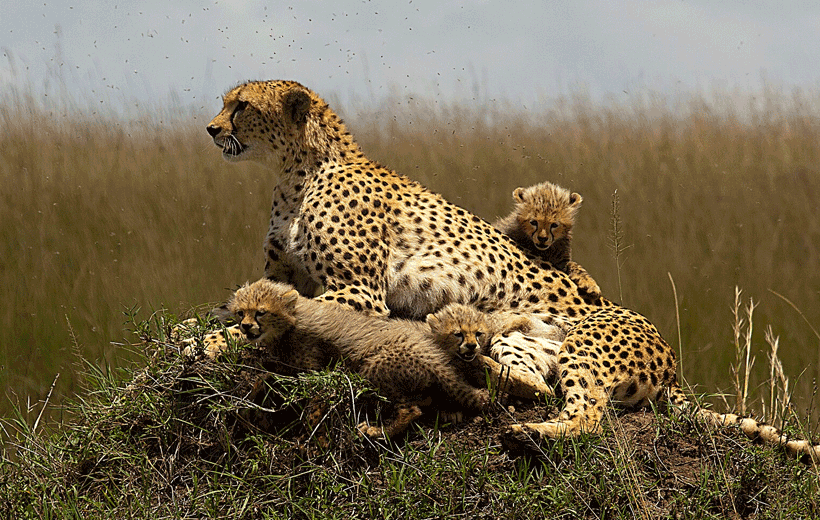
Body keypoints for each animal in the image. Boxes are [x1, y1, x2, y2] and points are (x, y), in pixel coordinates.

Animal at [228, 278, 490, 438]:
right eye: (241, 312)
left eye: (260, 312)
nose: (245, 326)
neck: (292, 321)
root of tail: (433, 356)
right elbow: (269, 369)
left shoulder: (314, 369)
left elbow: (291, 383)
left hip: (373, 369)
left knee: (411, 410)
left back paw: (377, 431)